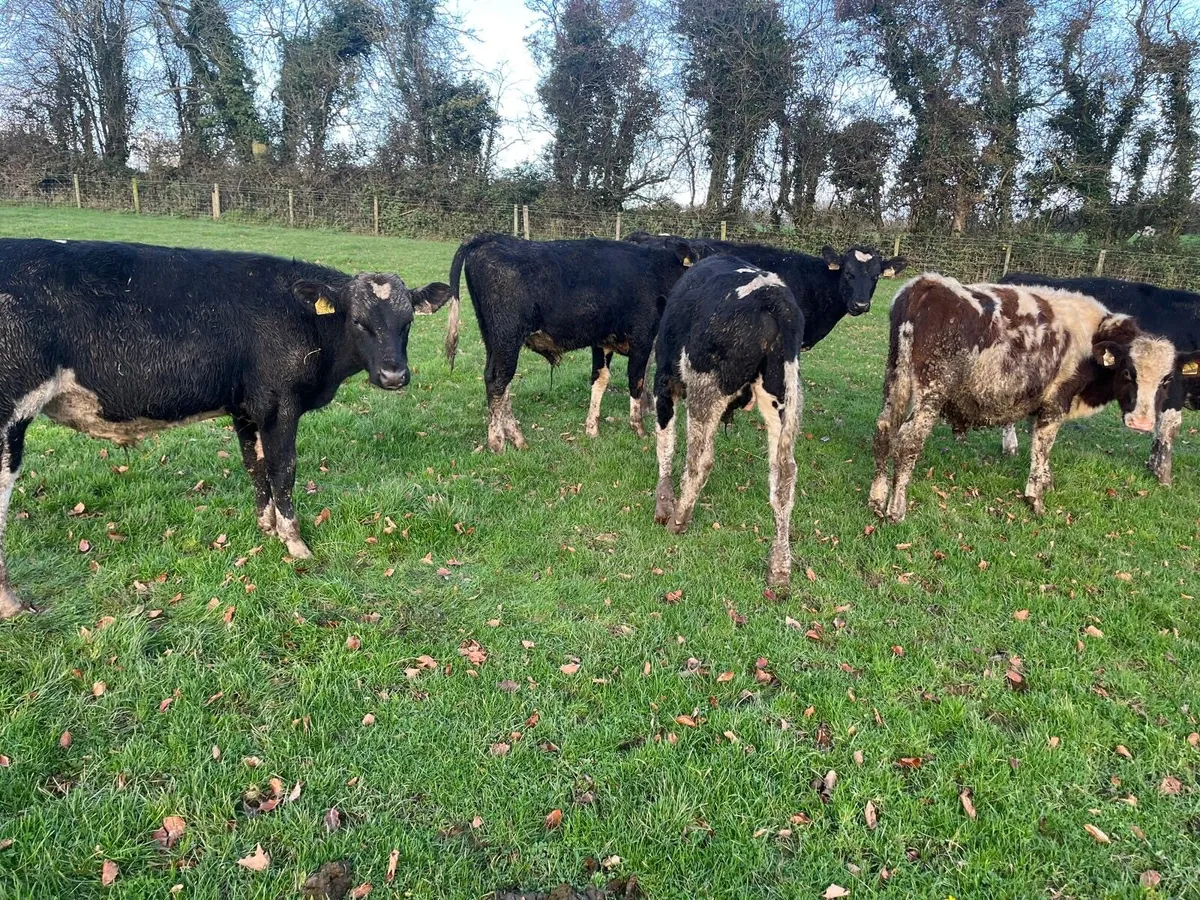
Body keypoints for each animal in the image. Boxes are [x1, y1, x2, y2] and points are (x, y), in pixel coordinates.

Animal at [0, 238, 453, 617]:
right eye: (358, 321)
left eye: (408, 321)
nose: (395, 375)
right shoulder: (280, 405)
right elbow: (283, 469)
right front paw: (295, 543)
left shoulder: (247, 408)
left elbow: (255, 466)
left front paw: (266, 528)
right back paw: (11, 603)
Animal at [443, 233, 695, 451]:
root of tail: (491, 237)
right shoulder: (642, 338)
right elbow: (637, 380)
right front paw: (639, 428)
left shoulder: (603, 341)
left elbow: (600, 379)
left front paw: (592, 429)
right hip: (507, 337)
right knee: (498, 382)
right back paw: (500, 440)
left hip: (492, 339)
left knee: (495, 380)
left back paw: (512, 435)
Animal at [653, 255, 803, 586]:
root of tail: (771, 296)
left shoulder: (664, 382)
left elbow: (665, 443)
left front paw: (664, 504)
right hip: (783, 394)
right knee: (784, 475)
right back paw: (780, 567)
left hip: (704, 387)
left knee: (699, 460)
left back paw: (679, 519)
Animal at [869, 274, 1176, 522]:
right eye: (1128, 372)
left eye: (1165, 380)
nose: (1142, 423)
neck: (1093, 336)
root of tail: (925, 284)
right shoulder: (1056, 402)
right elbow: (1042, 447)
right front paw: (1036, 498)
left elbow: (1039, 447)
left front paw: (1046, 482)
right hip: (931, 392)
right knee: (908, 442)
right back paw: (896, 509)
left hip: (896, 378)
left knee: (885, 428)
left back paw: (877, 497)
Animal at [997, 272, 1200, 484]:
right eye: (1127, 372)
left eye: (1166, 379)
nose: (1140, 423)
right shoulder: (1175, 395)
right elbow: (1168, 431)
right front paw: (1163, 477)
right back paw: (1011, 448)